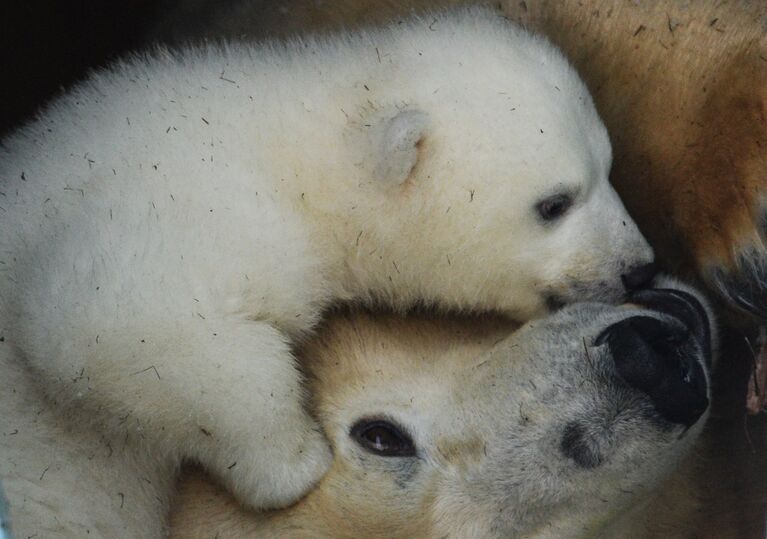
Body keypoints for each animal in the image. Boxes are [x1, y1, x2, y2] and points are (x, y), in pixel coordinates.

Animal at [0, 6, 656, 532]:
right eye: (555, 203)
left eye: (609, 168)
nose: (639, 269)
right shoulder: (192, 207)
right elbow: (107, 321)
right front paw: (296, 461)